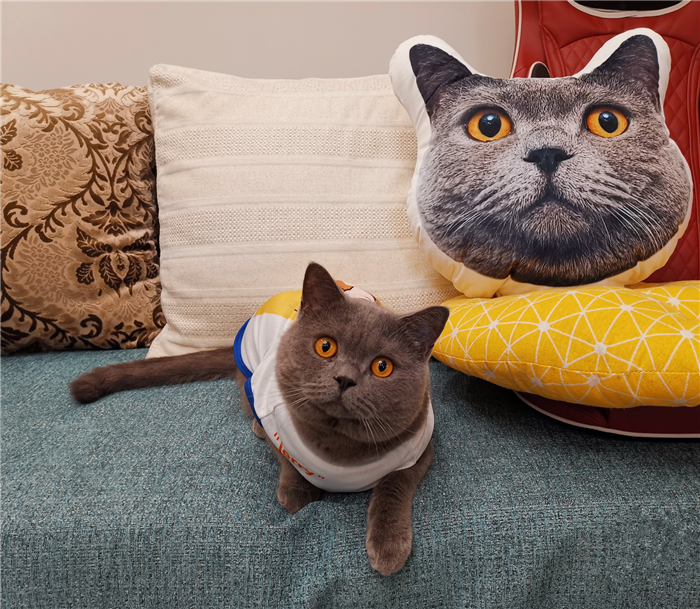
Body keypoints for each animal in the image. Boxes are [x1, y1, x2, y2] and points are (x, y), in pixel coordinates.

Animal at [71, 262, 449, 576]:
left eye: (382, 367)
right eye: (325, 346)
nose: (344, 379)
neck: (339, 451)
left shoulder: (420, 447)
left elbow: (393, 485)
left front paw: (389, 548)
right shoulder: (272, 418)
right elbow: (286, 463)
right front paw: (297, 493)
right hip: (249, 368)